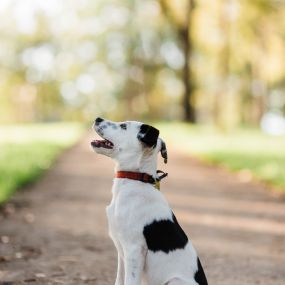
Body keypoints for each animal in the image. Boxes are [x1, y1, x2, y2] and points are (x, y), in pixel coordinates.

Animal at [92, 116, 207, 282]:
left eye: (124, 126)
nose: (97, 118)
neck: (135, 178)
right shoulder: (121, 252)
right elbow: (119, 280)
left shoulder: (133, 250)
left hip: (174, 280)